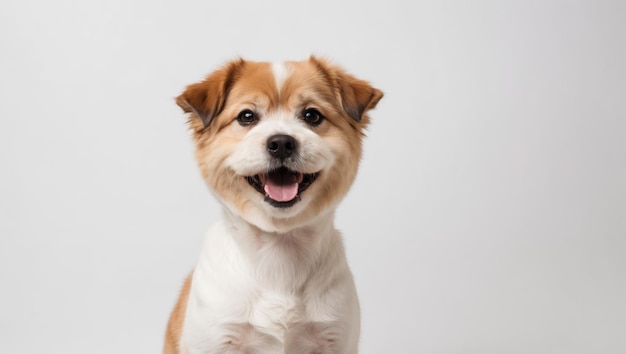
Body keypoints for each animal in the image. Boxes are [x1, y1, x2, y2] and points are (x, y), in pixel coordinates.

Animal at [163, 56, 380, 352]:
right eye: (247, 116)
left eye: (312, 115)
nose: (281, 142)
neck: (279, 250)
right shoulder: (215, 338)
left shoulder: (336, 338)